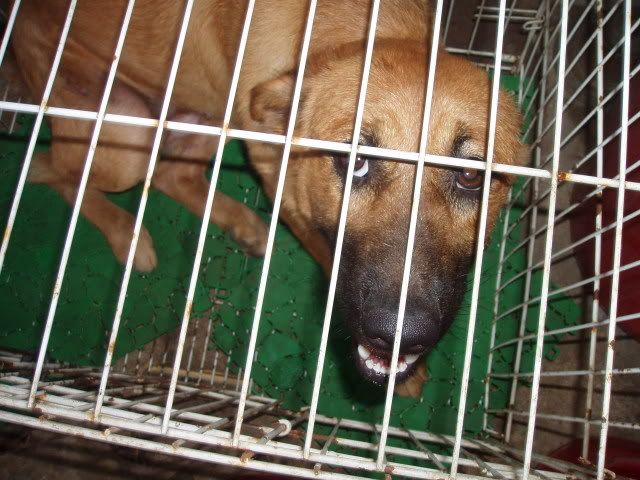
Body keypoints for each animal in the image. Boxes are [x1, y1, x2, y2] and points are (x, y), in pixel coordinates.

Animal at [10, 0, 523, 390]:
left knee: (170, 174)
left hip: (207, 118)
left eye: (471, 176)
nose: (398, 337)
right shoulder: (289, 197)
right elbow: (324, 251)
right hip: (127, 138)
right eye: (354, 160)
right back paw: (126, 234)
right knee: (54, 169)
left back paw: (241, 224)